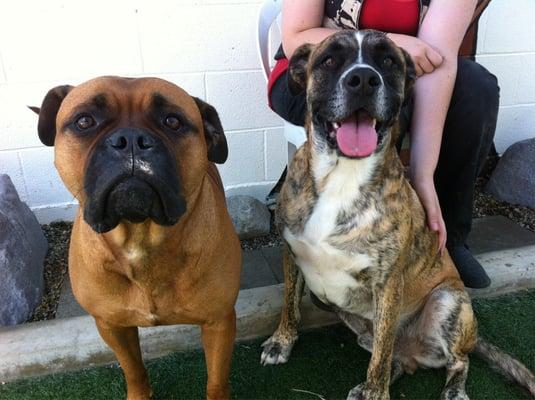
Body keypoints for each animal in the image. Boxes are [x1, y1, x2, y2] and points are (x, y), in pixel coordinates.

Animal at [33, 77, 241, 400]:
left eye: (173, 121)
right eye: (84, 121)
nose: (130, 139)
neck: (141, 238)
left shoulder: (219, 322)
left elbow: (217, 381)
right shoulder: (112, 326)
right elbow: (132, 368)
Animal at [260, 30, 535, 400]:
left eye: (388, 61)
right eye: (329, 60)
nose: (363, 79)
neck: (343, 174)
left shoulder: (388, 284)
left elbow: (381, 349)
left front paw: (376, 393)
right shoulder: (291, 253)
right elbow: (290, 303)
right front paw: (282, 341)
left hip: (448, 302)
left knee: (453, 359)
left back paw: (450, 389)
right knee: (395, 356)